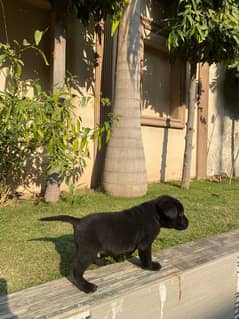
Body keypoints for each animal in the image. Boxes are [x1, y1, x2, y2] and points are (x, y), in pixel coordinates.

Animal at [39, 194, 189, 294]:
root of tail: (78, 221)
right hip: (87, 251)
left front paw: (121, 258)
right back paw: (87, 287)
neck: (155, 214)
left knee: (94, 258)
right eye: (181, 214)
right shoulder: (145, 244)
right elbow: (146, 257)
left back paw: (103, 262)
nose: (188, 223)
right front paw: (151, 267)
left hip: (88, 249)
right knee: (76, 271)